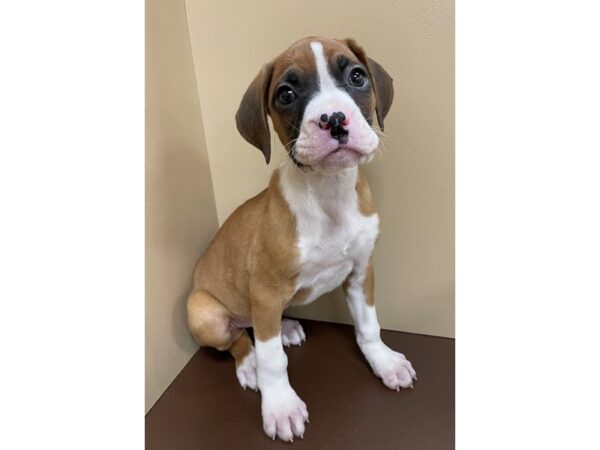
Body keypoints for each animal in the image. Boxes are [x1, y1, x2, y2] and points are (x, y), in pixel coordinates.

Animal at [188, 36, 418, 442]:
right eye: (286, 94)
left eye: (357, 76)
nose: (334, 119)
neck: (328, 195)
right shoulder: (264, 290)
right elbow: (273, 361)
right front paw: (280, 406)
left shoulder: (361, 272)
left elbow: (369, 326)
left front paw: (384, 362)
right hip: (203, 312)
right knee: (238, 339)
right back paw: (249, 365)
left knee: (255, 326)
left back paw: (286, 326)